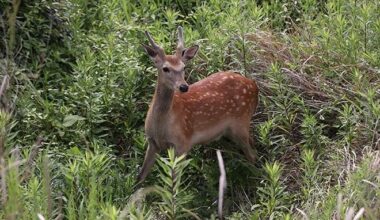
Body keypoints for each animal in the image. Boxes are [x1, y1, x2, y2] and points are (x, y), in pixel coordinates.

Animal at [138, 26, 260, 182]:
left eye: (183, 67)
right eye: (165, 68)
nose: (184, 87)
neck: (161, 128)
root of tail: (254, 85)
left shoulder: (183, 143)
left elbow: (174, 182)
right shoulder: (152, 142)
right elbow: (140, 176)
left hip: (241, 121)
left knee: (252, 155)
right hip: (230, 131)